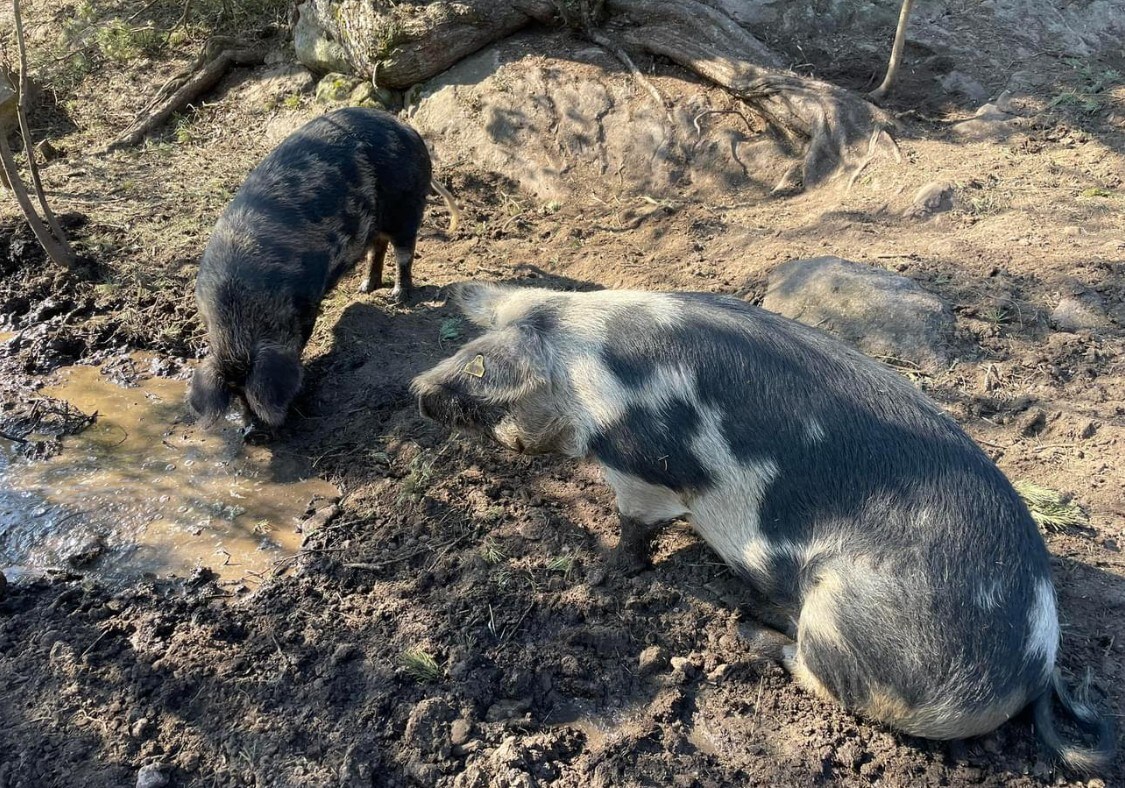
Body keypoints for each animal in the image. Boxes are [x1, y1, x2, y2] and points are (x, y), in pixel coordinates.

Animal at [191, 106, 459, 430]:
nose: (249, 429)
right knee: (378, 247)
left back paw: (400, 297)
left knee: (404, 251)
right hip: (379, 220)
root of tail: (406, 128)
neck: (240, 310)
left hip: (407, 205)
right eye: (235, 394)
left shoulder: (305, 304)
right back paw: (367, 288)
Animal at [409, 281, 1111, 769]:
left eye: (476, 375)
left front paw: (604, 571)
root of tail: (1035, 662)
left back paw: (746, 629)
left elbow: (634, 527)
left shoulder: (641, 470)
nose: (418, 390)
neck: (581, 360)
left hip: (851, 618)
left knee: (823, 674)